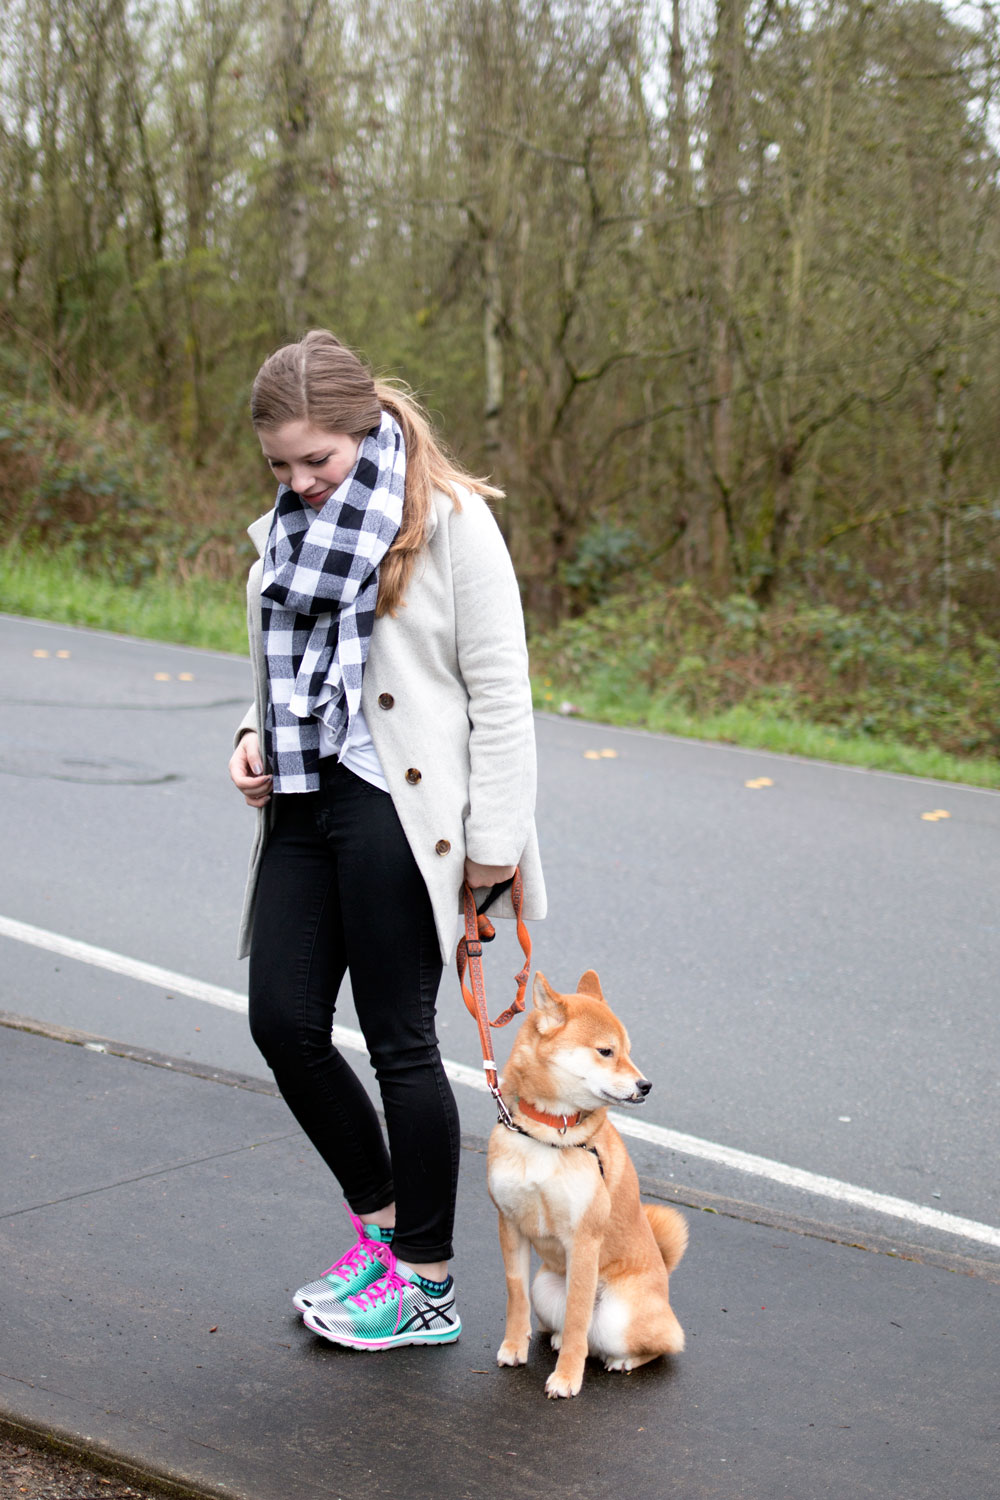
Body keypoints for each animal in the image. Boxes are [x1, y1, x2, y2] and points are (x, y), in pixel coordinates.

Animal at [485, 972, 689, 1392]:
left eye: (628, 1051)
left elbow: (579, 1316)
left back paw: (621, 1360)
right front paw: (513, 1347)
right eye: (606, 1051)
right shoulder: (510, 1224)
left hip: (617, 1317)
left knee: (657, 1343)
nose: (646, 1085)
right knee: (565, 1324)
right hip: (546, 1290)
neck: (549, 1134)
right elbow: (516, 1296)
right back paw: (560, 1338)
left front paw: (566, 1377)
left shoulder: (584, 1239)